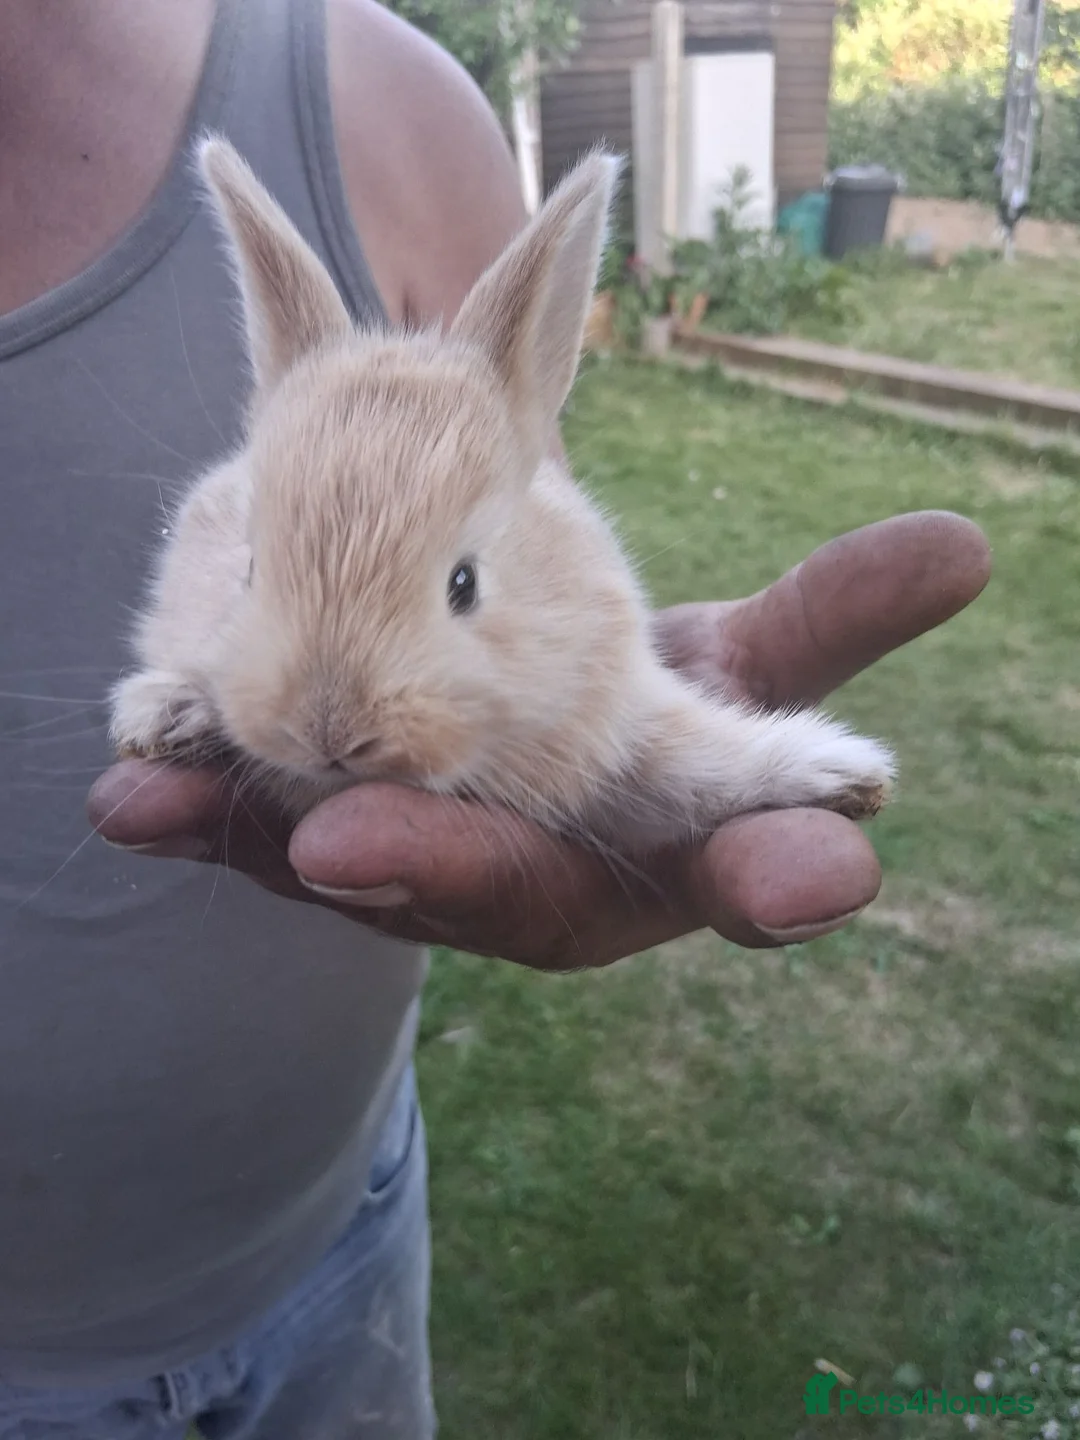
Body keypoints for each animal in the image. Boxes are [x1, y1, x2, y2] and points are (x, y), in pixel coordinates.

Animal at [108, 135, 895, 856]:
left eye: (465, 584)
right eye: (249, 570)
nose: (330, 730)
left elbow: (698, 766)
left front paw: (842, 774)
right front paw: (161, 712)